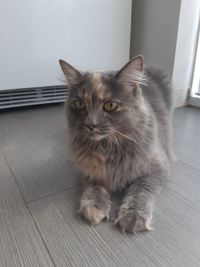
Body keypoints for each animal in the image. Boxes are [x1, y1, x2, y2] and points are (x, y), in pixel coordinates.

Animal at [59, 56, 172, 234]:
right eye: (79, 105)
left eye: (110, 106)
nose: (91, 124)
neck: (107, 147)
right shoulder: (87, 167)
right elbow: (94, 185)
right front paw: (94, 206)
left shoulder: (157, 166)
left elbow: (140, 189)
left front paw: (132, 216)